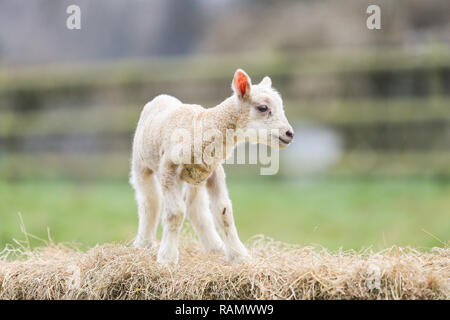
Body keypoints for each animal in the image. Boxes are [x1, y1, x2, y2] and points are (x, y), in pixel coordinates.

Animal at [128, 69, 294, 264]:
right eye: (263, 108)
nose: (289, 133)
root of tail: (162, 97)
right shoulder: (168, 167)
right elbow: (175, 213)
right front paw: (167, 259)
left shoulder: (214, 171)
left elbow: (224, 212)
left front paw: (239, 256)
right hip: (141, 162)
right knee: (150, 200)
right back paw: (144, 244)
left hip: (196, 177)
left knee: (195, 207)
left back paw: (214, 247)